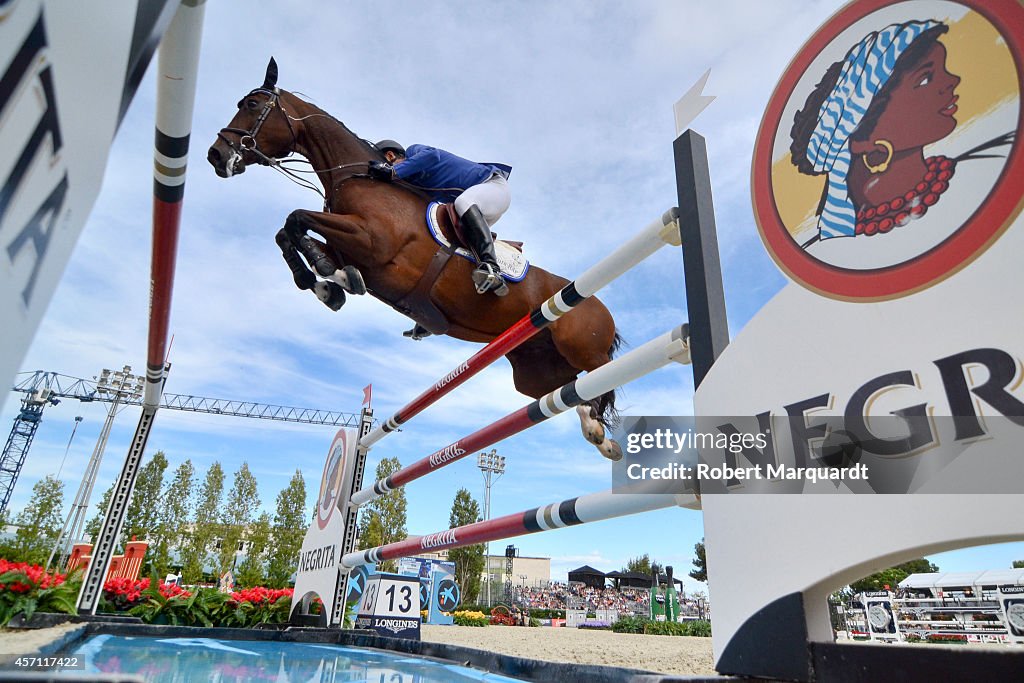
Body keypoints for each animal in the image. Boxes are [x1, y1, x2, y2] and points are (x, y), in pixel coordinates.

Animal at [205, 58, 622, 458]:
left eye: (252, 105)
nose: (215, 155)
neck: (359, 176)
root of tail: (600, 306)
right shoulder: (349, 246)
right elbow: (289, 232)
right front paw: (327, 285)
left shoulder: (370, 241)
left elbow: (295, 219)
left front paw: (329, 278)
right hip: (535, 371)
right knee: (573, 391)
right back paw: (597, 432)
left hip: (582, 345)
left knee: (603, 375)